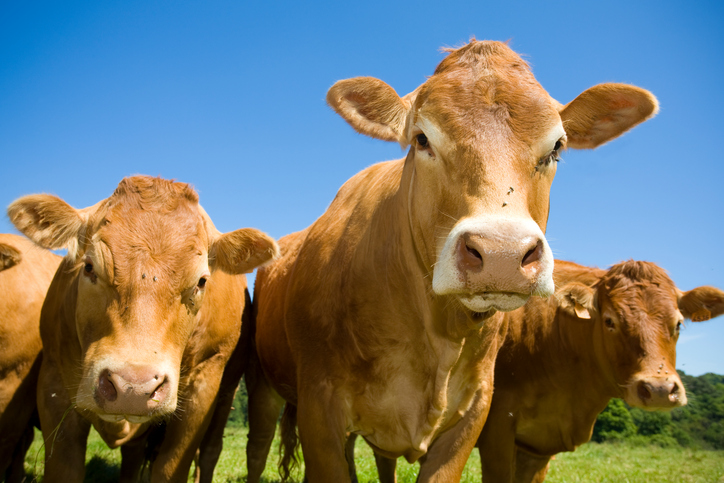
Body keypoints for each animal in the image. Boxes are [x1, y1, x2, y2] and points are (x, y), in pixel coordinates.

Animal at [7, 176, 278, 482]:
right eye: (88, 267)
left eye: (201, 281)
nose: (132, 388)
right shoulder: (53, 381)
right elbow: (64, 468)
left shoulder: (203, 386)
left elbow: (170, 468)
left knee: (210, 450)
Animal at [246, 38, 660, 483]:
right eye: (422, 139)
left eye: (556, 148)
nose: (501, 254)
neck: (435, 334)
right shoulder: (320, 408)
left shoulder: (475, 411)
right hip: (263, 386)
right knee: (257, 447)